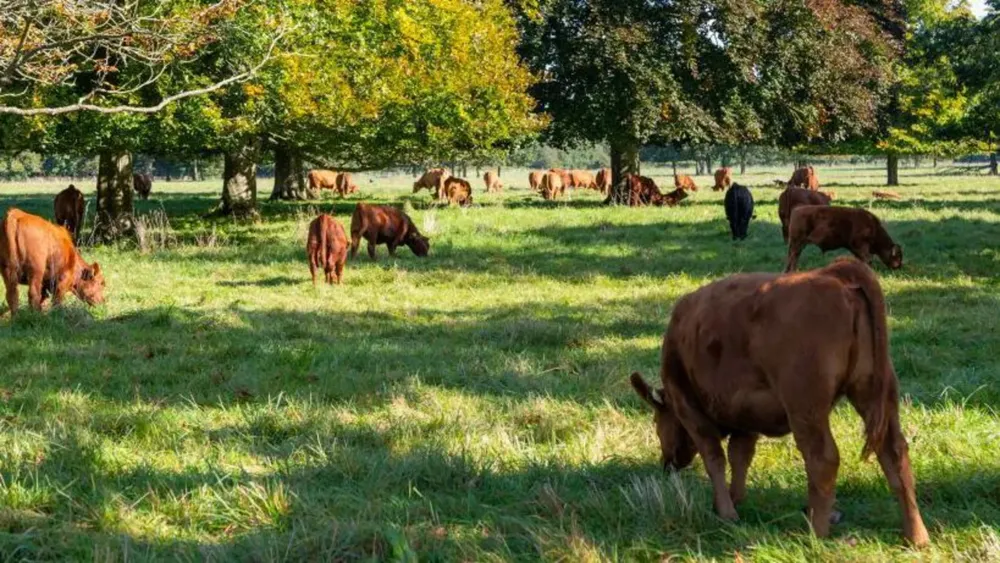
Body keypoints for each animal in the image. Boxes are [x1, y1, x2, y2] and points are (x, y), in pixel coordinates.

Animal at [632, 258, 928, 548]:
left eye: (657, 421)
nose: (667, 464)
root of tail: (834, 273)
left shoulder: (689, 408)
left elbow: (714, 457)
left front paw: (726, 512)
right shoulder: (744, 416)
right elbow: (740, 456)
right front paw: (736, 499)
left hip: (806, 407)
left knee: (823, 458)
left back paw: (815, 533)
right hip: (874, 395)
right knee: (894, 453)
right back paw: (916, 536)